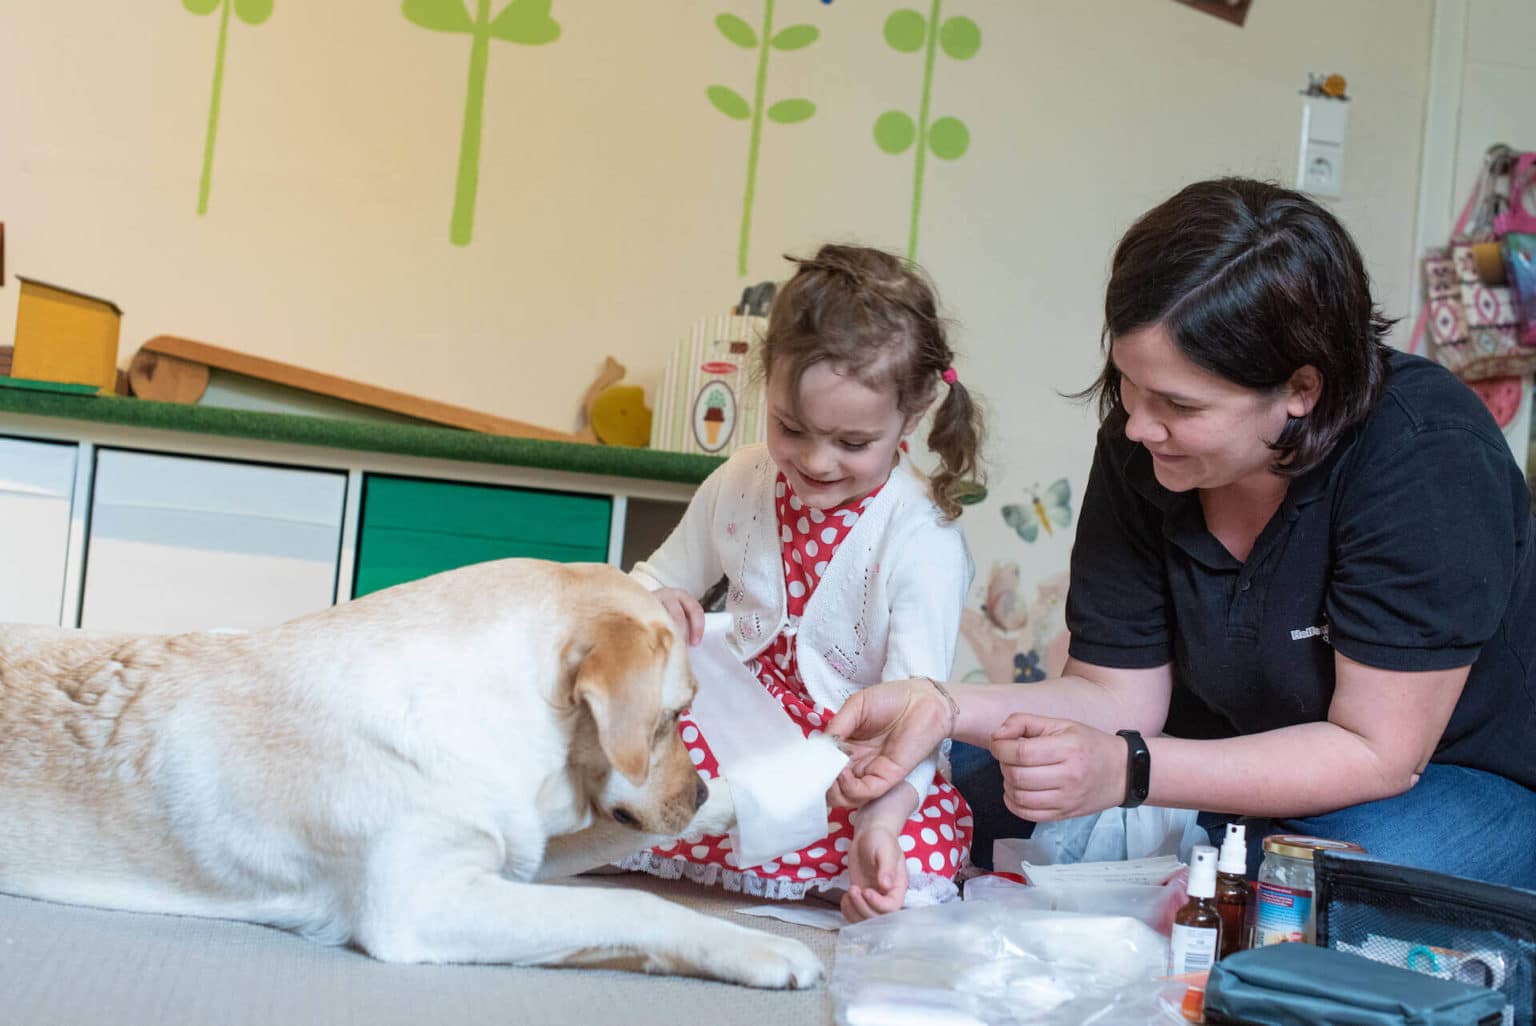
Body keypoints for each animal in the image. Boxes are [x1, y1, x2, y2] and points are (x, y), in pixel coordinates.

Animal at [0, 556, 823, 989]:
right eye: (675, 713)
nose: (701, 788)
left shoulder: (512, 846)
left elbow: (609, 845)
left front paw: (749, 802)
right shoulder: (424, 900)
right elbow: (633, 907)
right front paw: (760, 949)